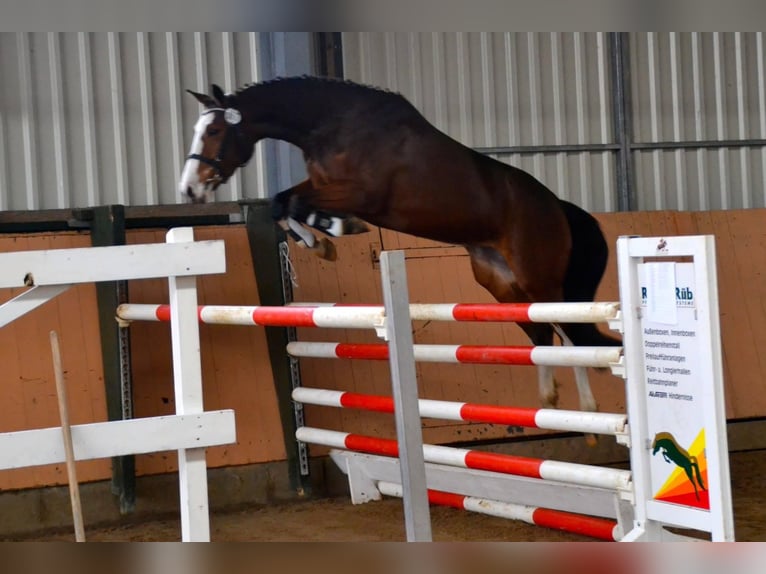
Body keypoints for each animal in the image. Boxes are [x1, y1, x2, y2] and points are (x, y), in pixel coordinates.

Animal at [180, 76, 624, 426]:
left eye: (214, 132)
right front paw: (321, 243)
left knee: (569, 330)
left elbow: (294, 204)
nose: (189, 190)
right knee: (543, 331)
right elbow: (282, 203)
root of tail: (558, 207)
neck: (334, 126)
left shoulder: (359, 194)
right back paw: (550, 401)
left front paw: (335, 231)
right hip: (501, 285)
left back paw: (587, 410)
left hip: (538, 279)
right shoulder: (322, 186)